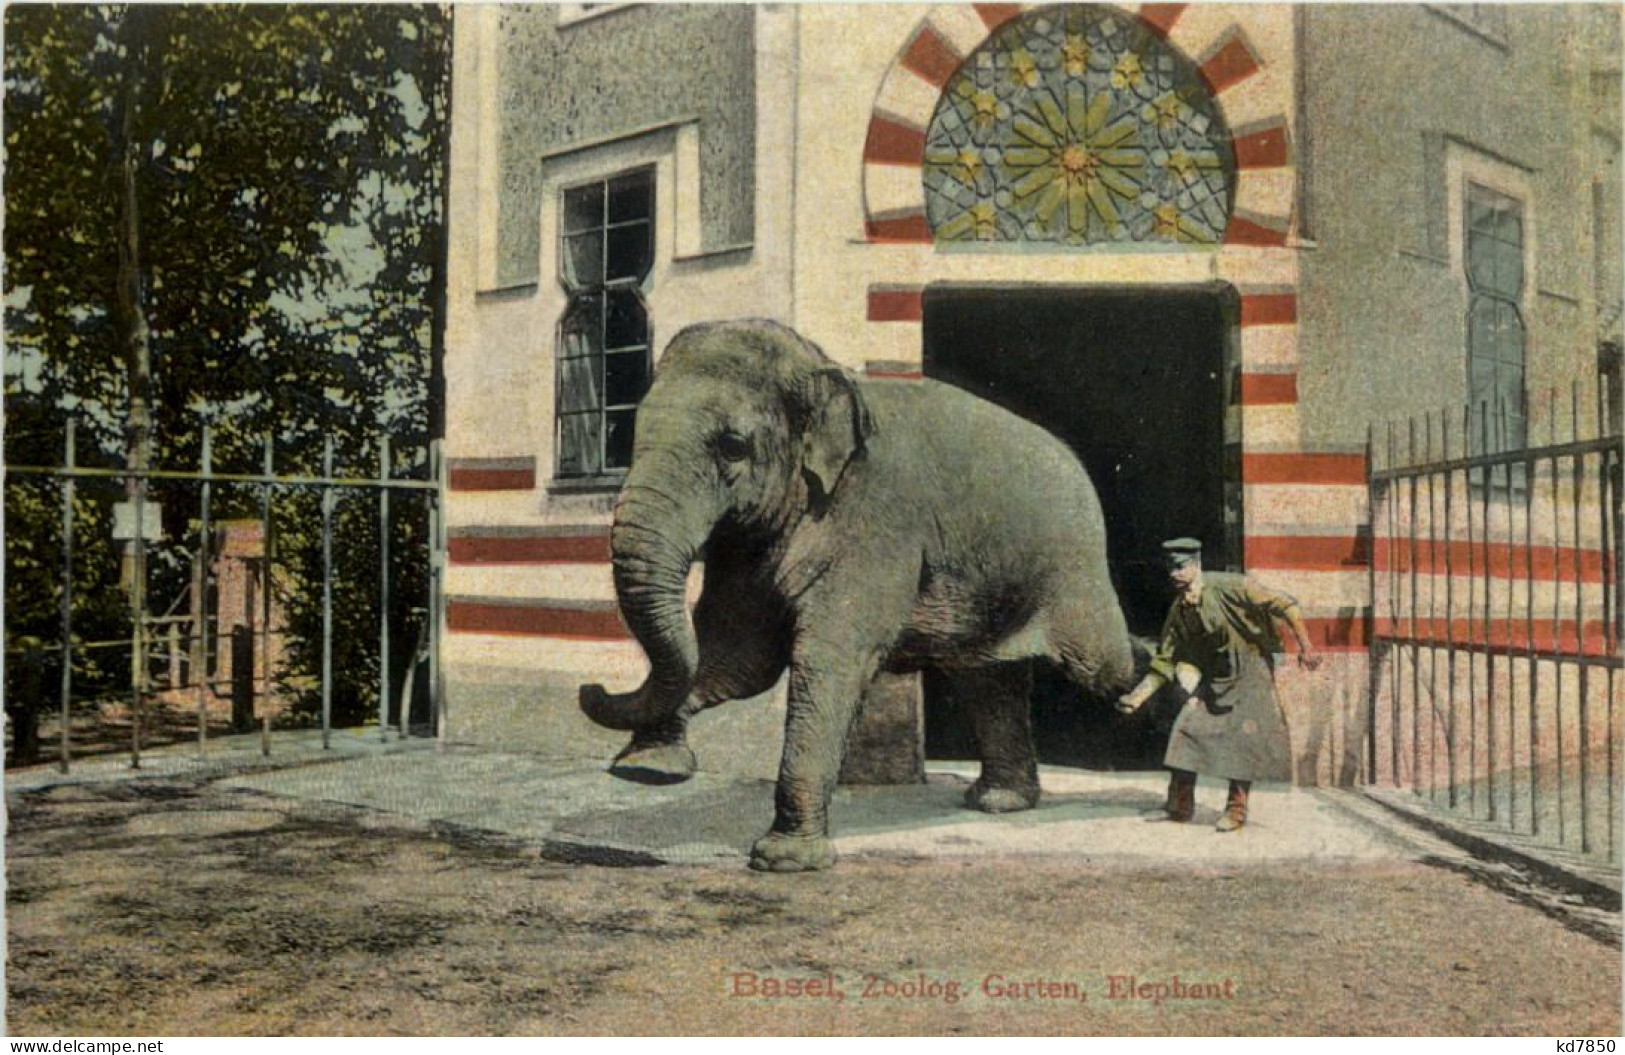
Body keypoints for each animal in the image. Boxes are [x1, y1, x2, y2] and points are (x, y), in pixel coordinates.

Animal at [578, 320, 1137, 871]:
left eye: (733, 446)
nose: (590, 687)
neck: (825, 368)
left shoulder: (875, 519)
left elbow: (828, 658)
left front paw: (784, 860)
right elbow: (738, 659)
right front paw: (648, 769)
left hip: (1074, 571)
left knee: (1101, 664)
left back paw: (1143, 683)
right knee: (989, 679)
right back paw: (999, 802)